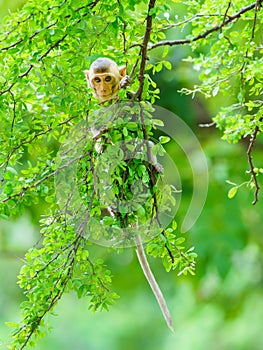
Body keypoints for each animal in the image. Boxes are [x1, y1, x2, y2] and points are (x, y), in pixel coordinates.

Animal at [82, 57, 173, 330]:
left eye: (107, 78)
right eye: (97, 80)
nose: (102, 89)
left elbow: (137, 111)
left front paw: (127, 86)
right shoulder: (95, 110)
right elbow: (99, 133)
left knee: (145, 144)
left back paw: (152, 170)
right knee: (105, 165)